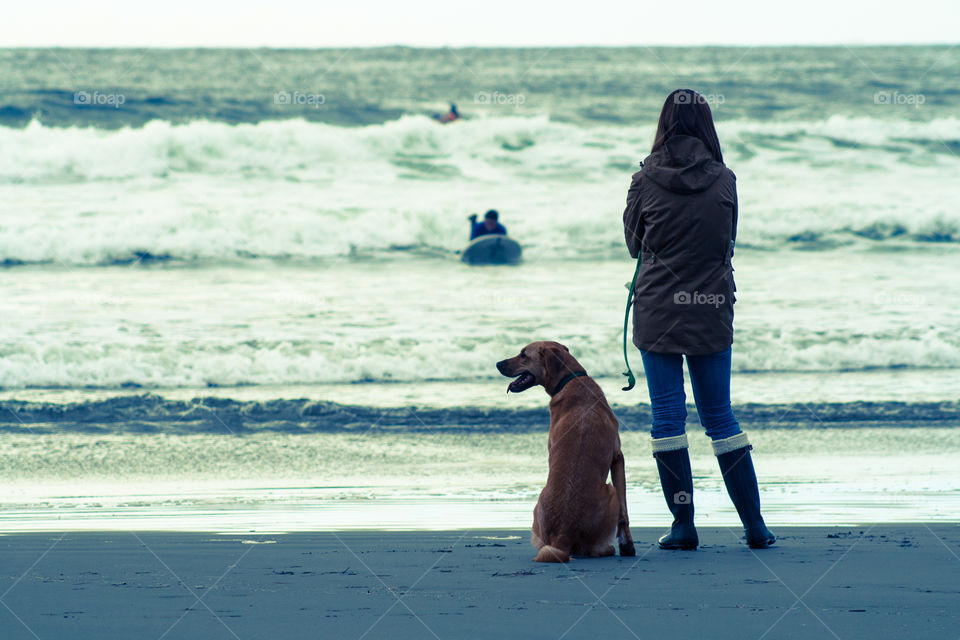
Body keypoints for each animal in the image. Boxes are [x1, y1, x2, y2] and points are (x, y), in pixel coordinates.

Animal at [496, 342, 636, 564]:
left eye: (523, 355)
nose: (498, 364)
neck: (571, 379)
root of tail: (562, 535)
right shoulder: (618, 457)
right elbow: (624, 513)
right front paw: (627, 545)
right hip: (610, 491)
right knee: (590, 549)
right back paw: (606, 548)